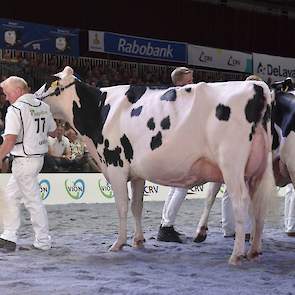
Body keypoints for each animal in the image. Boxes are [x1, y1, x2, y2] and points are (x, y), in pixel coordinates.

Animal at [36, 66, 278, 266]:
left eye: (47, 83)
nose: (34, 96)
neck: (98, 110)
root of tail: (257, 87)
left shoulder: (115, 166)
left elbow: (122, 207)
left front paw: (118, 243)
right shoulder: (136, 173)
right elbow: (137, 206)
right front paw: (138, 240)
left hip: (231, 163)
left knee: (241, 203)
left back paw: (236, 254)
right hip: (256, 168)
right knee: (258, 204)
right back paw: (254, 250)